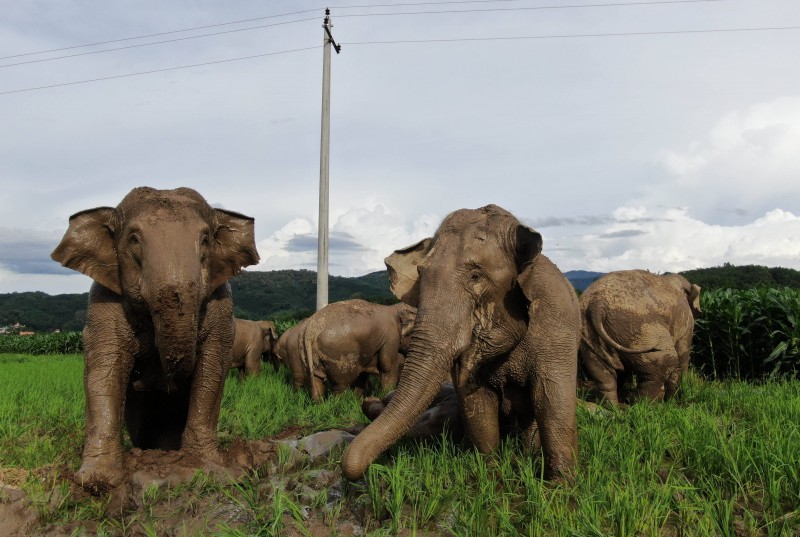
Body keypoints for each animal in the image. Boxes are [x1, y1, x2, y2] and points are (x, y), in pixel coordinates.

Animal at [48, 187, 260, 490]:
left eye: (205, 240)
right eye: (134, 240)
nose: (144, 379)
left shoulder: (222, 304)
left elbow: (212, 370)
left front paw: (210, 468)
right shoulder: (102, 300)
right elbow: (104, 370)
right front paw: (97, 481)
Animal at [340, 205, 580, 482]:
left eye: (475, 276)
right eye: (420, 274)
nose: (351, 470)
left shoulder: (557, 322)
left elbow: (551, 397)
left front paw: (560, 485)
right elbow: (477, 401)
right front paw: (489, 471)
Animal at [580, 270, 700, 404]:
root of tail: (597, 305)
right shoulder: (686, 324)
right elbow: (682, 357)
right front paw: (672, 402)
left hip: (590, 333)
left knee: (602, 371)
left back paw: (613, 406)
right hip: (640, 328)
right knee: (665, 361)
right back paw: (640, 403)